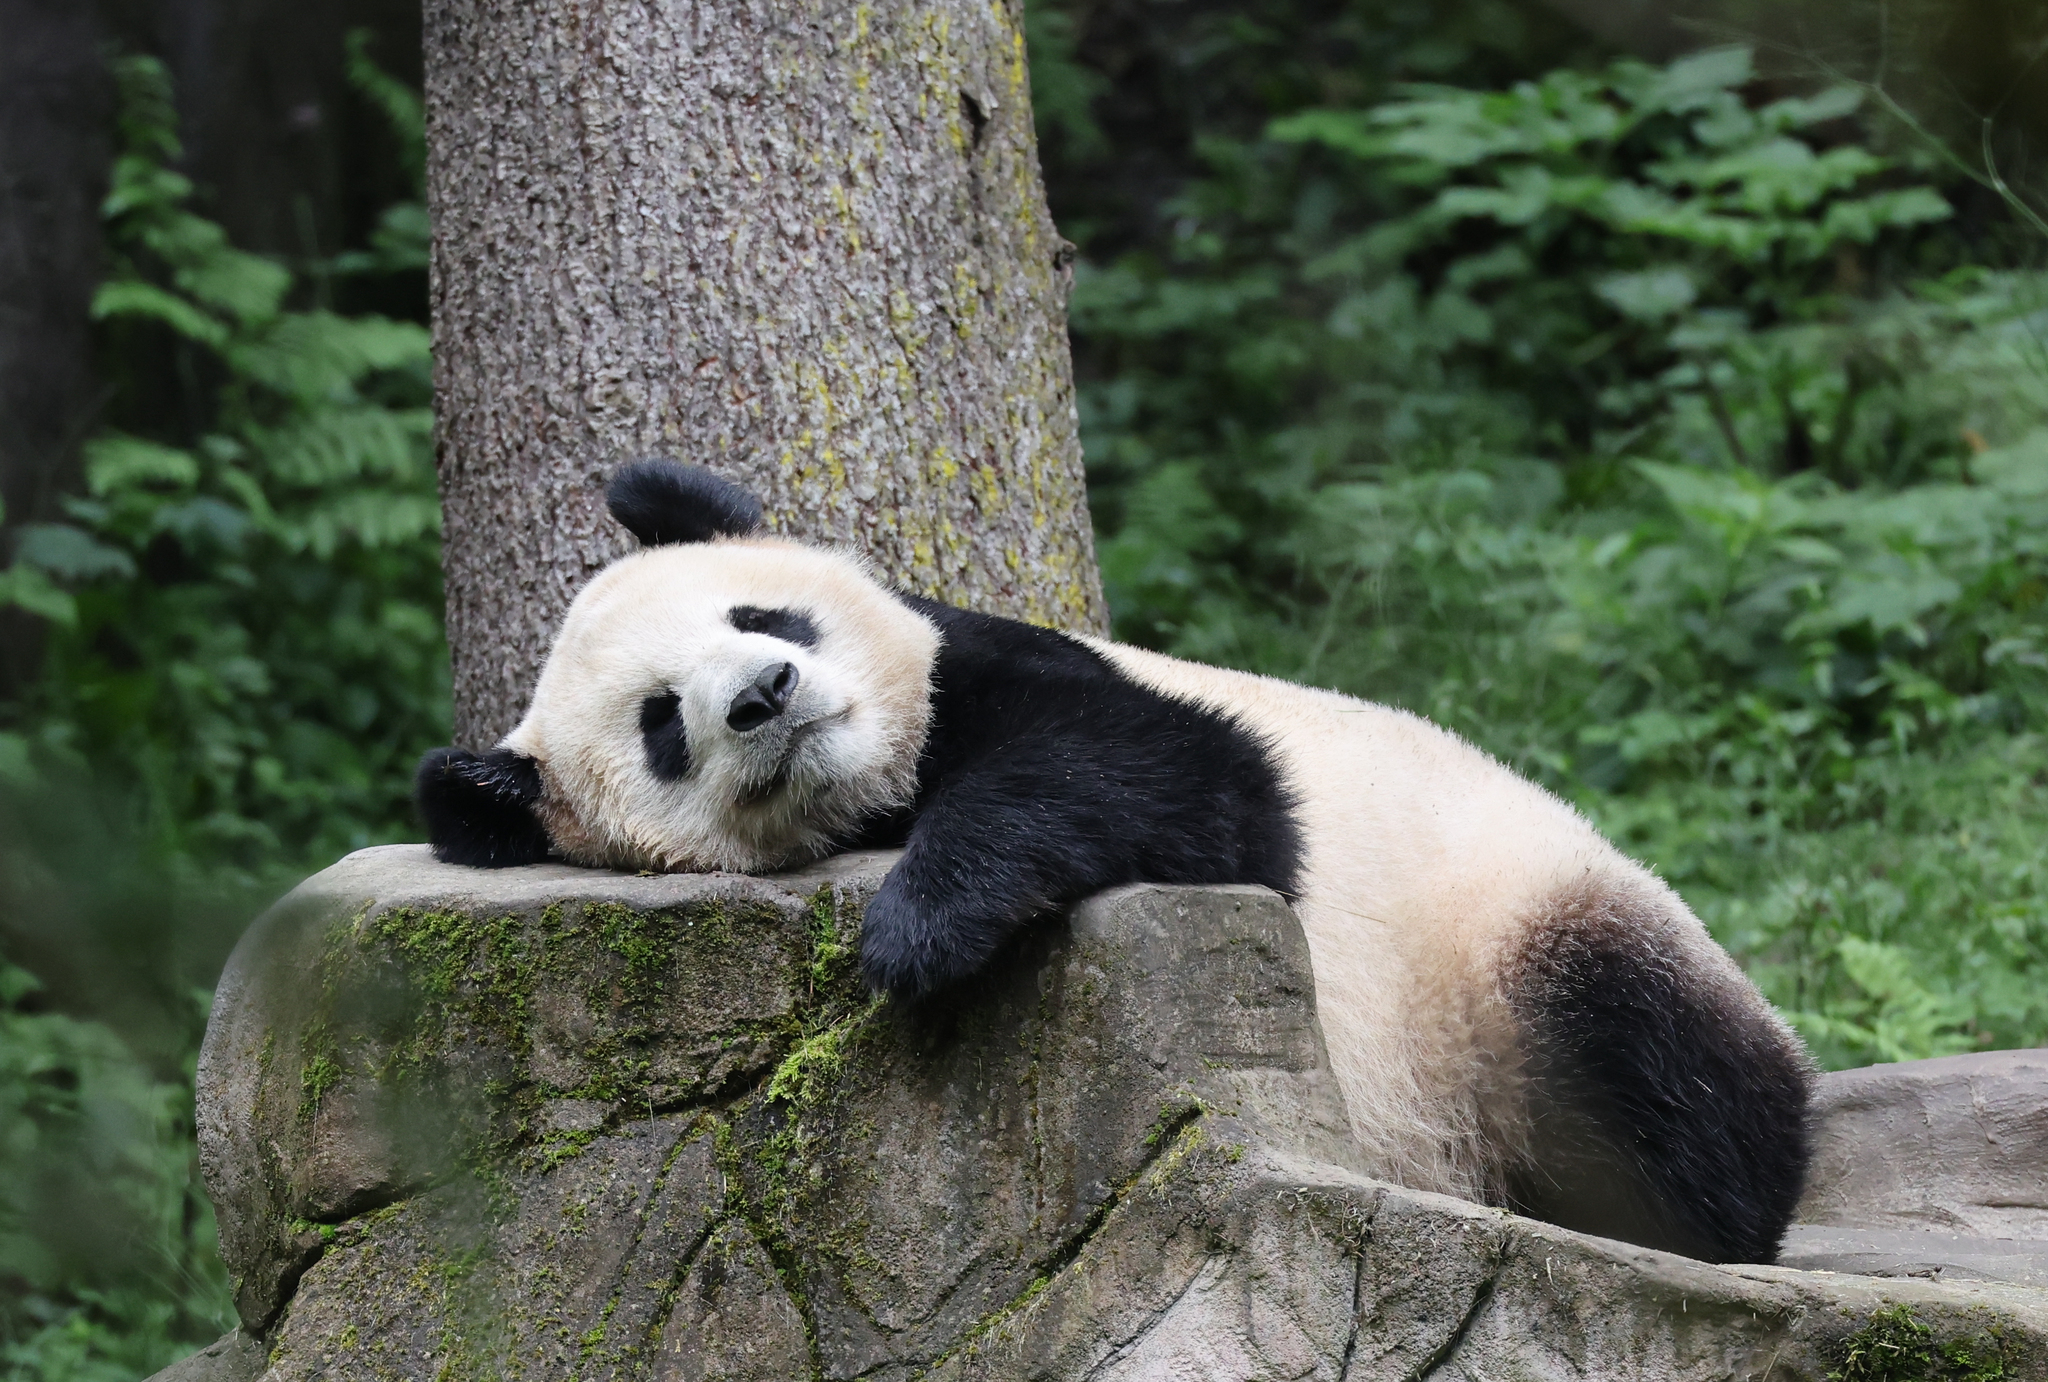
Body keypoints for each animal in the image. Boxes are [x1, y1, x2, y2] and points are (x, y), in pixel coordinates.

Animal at [417, 457, 1813, 1266]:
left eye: (761, 614)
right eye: (662, 721)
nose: (764, 693)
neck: (880, 787)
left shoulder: (1006, 665)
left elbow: (1184, 781)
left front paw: (919, 926)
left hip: (1510, 928)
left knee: (1641, 1042)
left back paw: (1699, 1212)